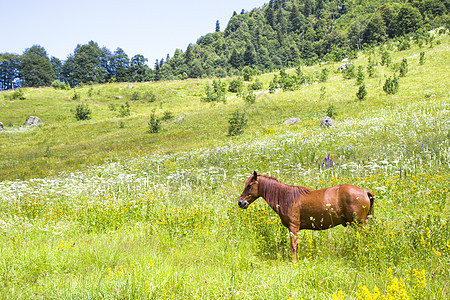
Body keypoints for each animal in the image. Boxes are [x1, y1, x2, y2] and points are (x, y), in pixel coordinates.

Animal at [237, 171, 374, 262]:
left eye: (249, 185)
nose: (240, 202)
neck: (287, 198)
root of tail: (365, 191)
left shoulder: (293, 227)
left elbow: (293, 246)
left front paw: (294, 263)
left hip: (359, 224)